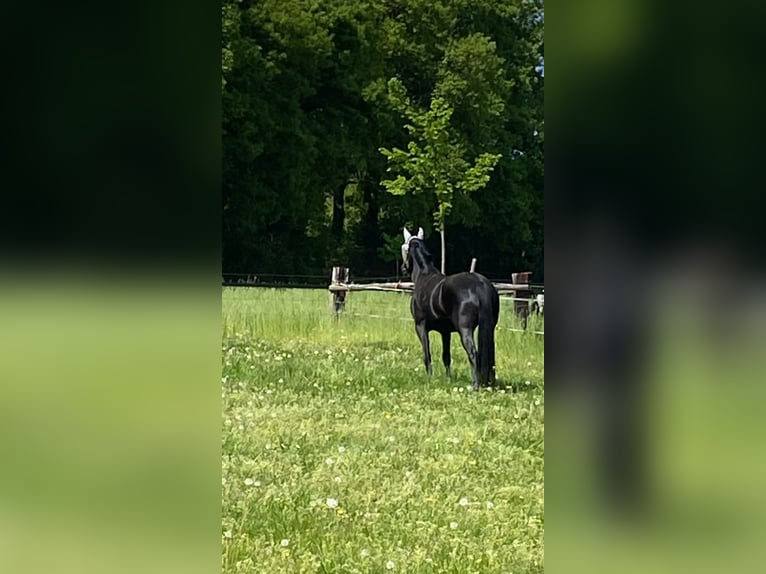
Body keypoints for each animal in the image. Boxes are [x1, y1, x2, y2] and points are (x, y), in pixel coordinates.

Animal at [402, 226, 504, 392]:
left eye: (403, 248)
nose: (403, 268)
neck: (424, 275)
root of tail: (480, 285)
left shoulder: (420, 327)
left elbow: (427, 354)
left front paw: (429, 377)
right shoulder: (446, 332)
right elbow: (446, 356)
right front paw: (449, 379)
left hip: (465, 330)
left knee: (474, 353)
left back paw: (475, 385)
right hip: (490, 328)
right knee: (489, 353)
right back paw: (489, 384)